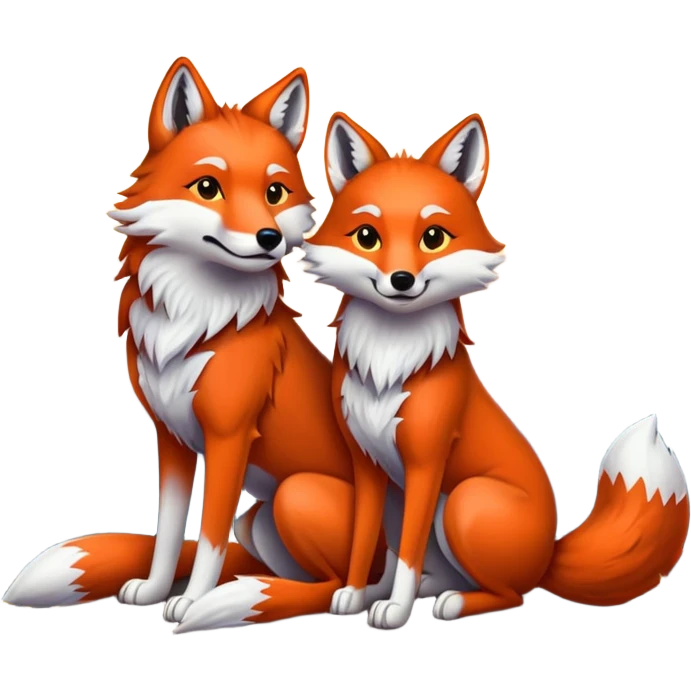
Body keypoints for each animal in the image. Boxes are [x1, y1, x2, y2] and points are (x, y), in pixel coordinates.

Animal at [2, 58, 399, 628]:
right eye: (208, 187)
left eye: (274, 193)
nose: (269, 238)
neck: (195, 323)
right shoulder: (171, 438)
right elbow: (169, 532)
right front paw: (153, 589)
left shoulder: (228, 439)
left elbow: (207, 538)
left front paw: (189, 601)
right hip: (259, 521)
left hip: (296, 495)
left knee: (330, 586)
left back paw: (250, 600)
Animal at [297, 109, 690, 630]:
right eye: (367, 237)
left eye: (433, 237)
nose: (401, 280)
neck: (389, 362)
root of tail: (549, 553)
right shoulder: (367, 464)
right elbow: (365, 538)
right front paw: (355, 593)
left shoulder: (426, 463)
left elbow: (406, 556)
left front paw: (396, 611)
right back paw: (414, 590)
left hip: (464, 502)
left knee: (510, 593)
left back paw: (454, 602)